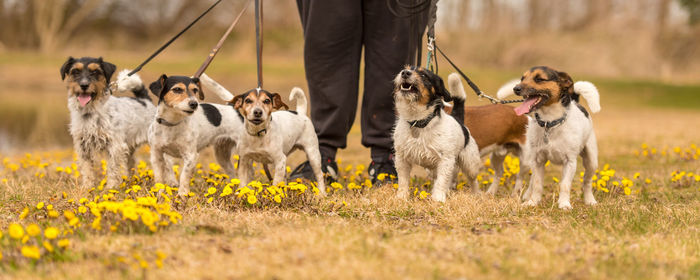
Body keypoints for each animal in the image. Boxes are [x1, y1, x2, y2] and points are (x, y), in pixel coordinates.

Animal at [498, 66, 600, 210]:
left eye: (539, 79)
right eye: (522, 78)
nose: (516, 88)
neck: (550, 123)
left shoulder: (570, 162)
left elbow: (565, 185)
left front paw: (564, 204)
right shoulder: (538, 161)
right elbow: (536, 183)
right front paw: (533, 202)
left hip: (591, 161)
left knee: (587, 181)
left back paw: (590, 200)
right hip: (531, 159)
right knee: (531, 181)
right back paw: (527, 195)